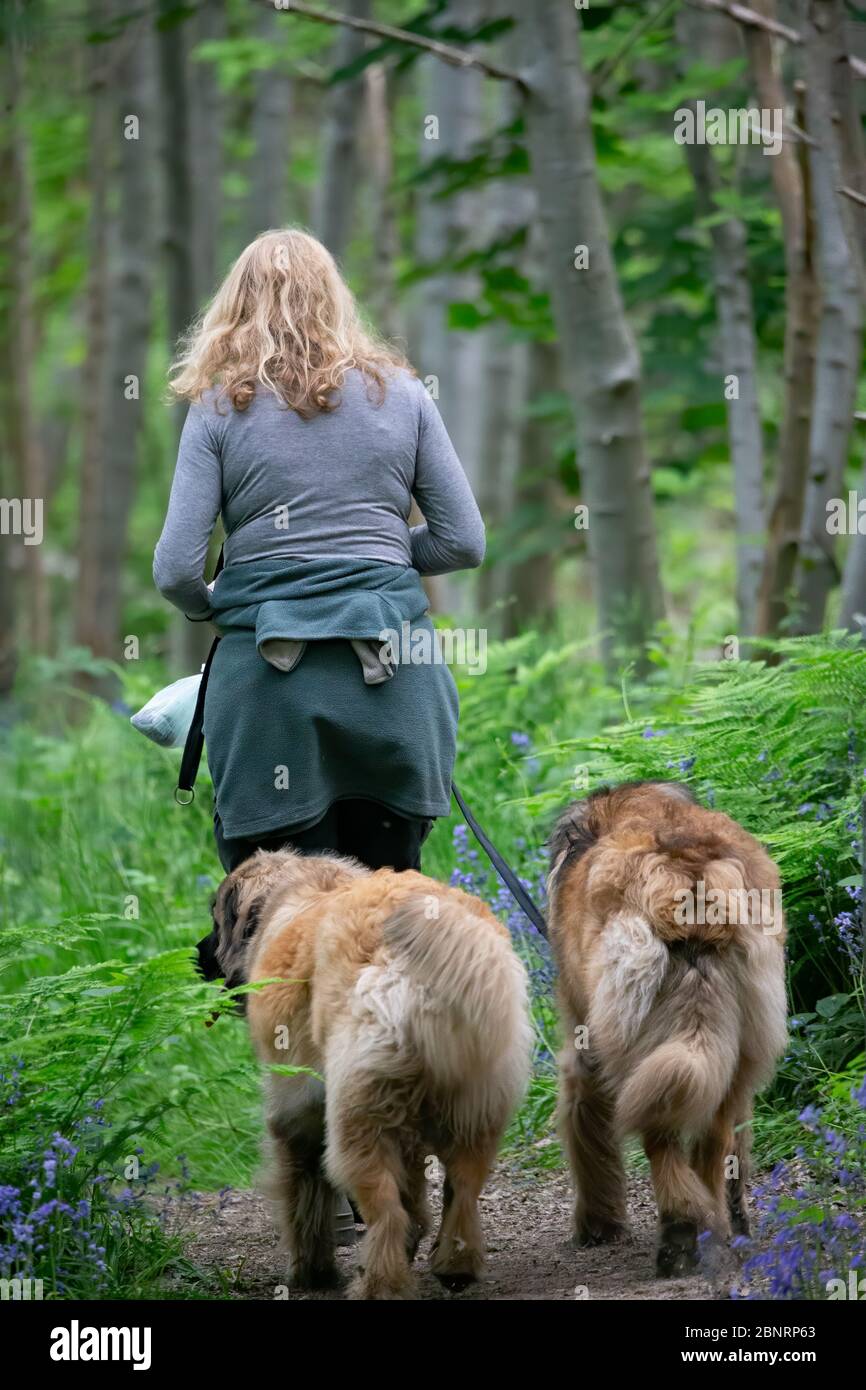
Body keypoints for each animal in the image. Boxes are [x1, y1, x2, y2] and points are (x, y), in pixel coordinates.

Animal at [202, 845, 530, 1301]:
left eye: (216, 918)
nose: (199, 956)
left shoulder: (296, 1111)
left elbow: (304, 1198)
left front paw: (311, 1272)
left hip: (356, 1122)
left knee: (386, 1210)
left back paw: (378, 1284)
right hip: (474, 1111)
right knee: (461, 1189)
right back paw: (454, 1266)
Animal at [553, 778, 789, 1273]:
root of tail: (689, 875)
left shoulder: (584, 1052)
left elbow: (587, 1132)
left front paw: (597, 1225)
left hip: (635, 1049)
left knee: (660, 1140)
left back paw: (679, 1234)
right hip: (735, 1041)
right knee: (715, 1137)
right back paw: (715, 1227)